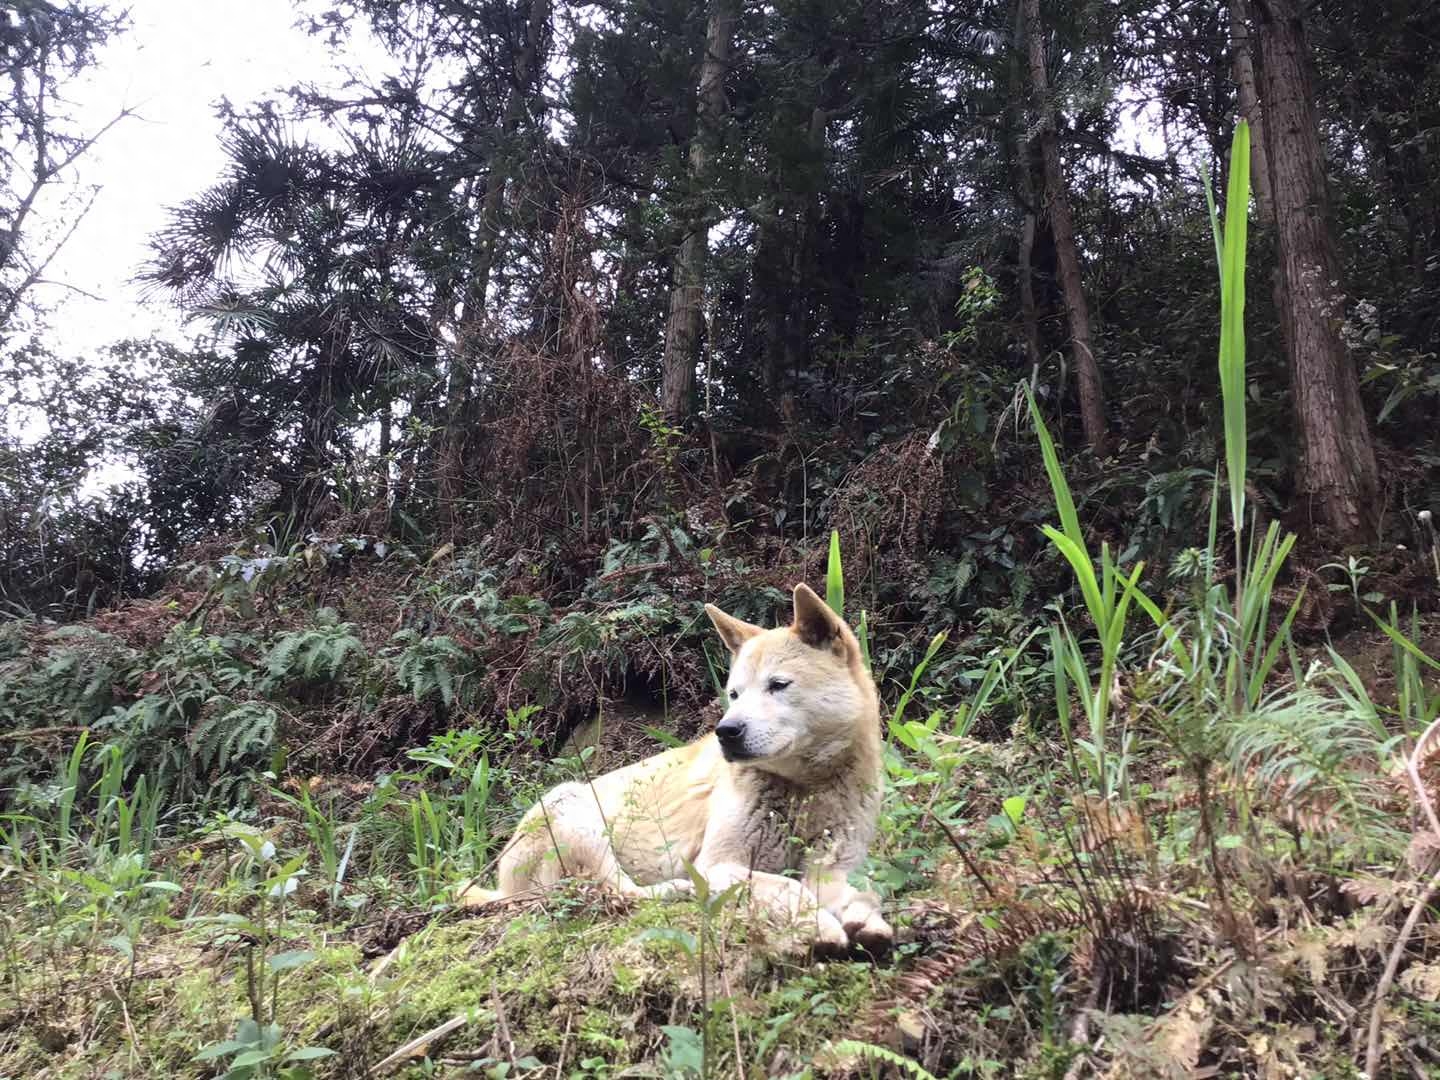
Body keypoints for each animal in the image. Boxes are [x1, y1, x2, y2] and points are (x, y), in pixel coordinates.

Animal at [457, 584, 887, 956]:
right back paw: (675, 890)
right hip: (571, 806)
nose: (726, 731)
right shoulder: (717, 865)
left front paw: (868, 922)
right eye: (734, 694)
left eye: (778, 685)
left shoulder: (836, 865)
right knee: (613, 890)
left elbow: (861, 892)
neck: (804, 790)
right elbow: (788, 887)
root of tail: (501, 885)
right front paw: (821, 927)